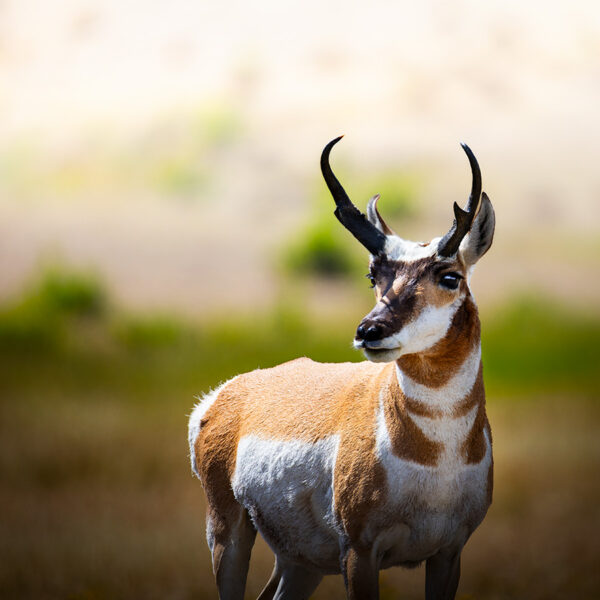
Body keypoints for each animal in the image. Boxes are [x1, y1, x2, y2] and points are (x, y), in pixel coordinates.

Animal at [190, 137, 494, 600]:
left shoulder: (448, 553)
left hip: (300, 562)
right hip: (228, 534)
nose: (369, 330)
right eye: (373, 276)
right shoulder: (359, 553)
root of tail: (224, 395)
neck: (438, 453)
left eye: (450, 276)